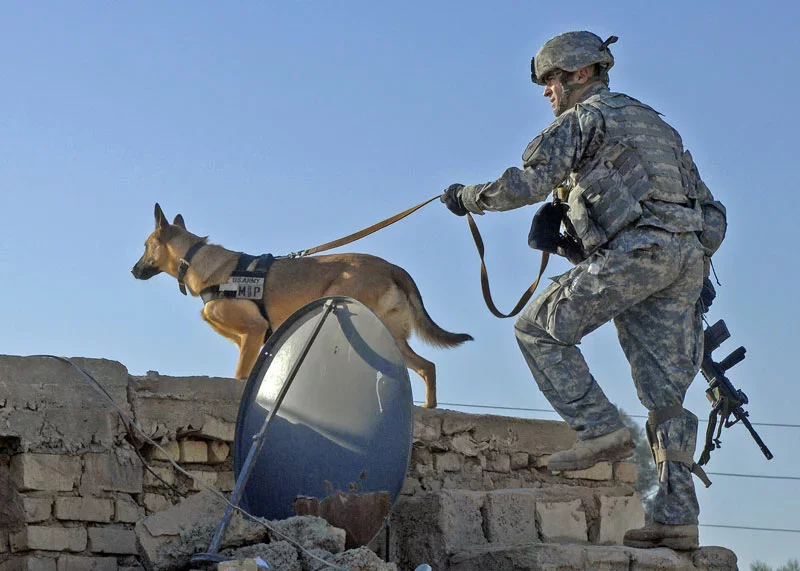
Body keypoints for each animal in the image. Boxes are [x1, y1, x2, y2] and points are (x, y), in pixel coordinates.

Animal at [130, 203, 468, 408]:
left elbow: (240, 377)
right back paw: (429, 407)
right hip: (391, 335)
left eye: (145, 246)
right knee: (426, 366)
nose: (133, 271)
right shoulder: (249, 340)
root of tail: (392, 267)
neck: (198, 260)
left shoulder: (253, 331)